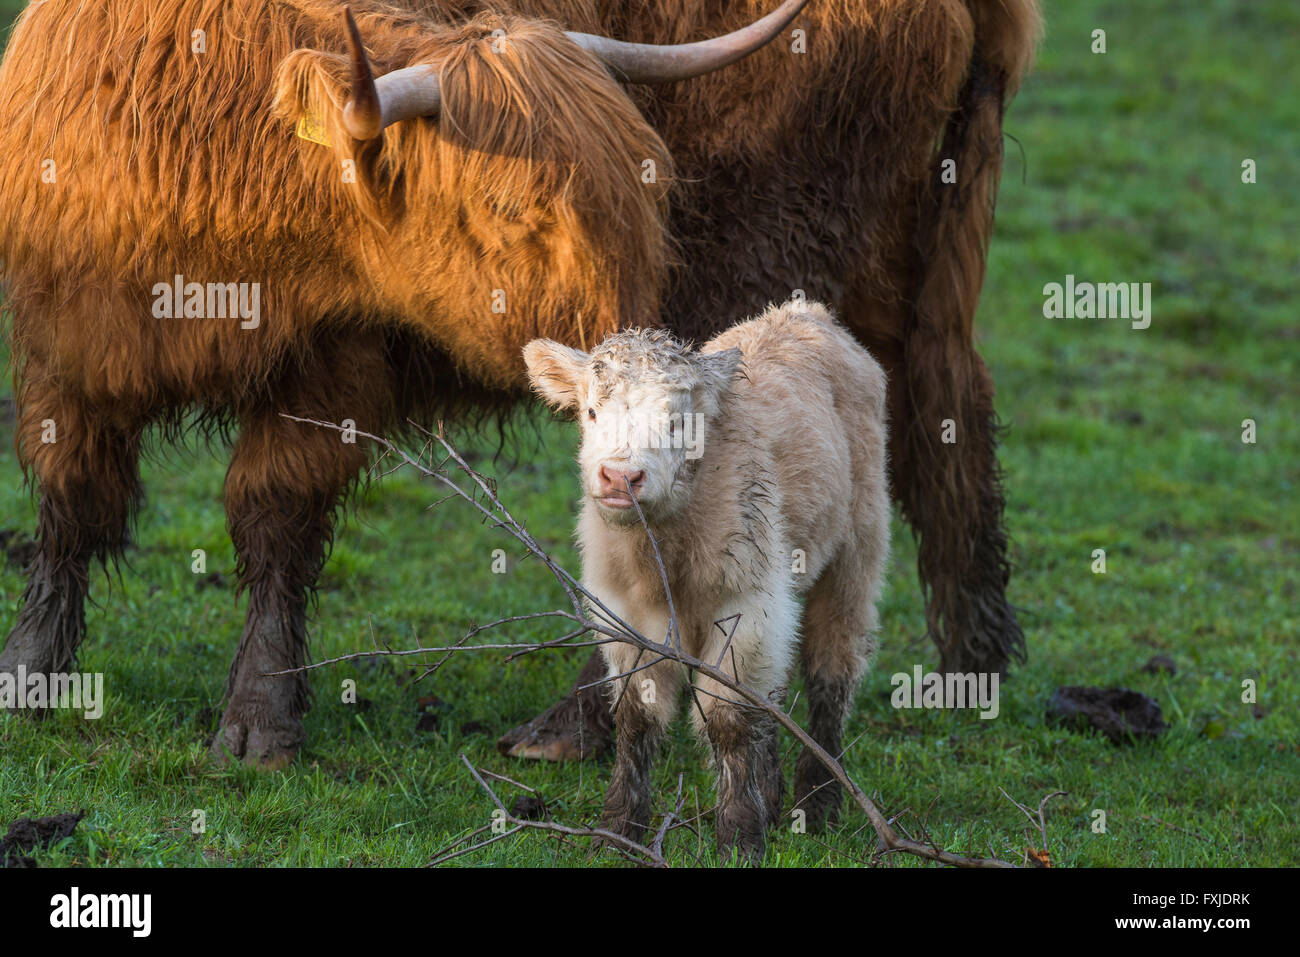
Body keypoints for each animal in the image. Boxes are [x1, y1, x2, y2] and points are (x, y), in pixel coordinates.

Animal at [0, 0, 808, 766]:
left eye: (647, 191)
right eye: (511, 207)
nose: (638, 358)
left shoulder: (331, 365)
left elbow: (274, 514)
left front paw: (260, 717)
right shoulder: (67, 351)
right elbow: (73, 503)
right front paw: (30, 672)